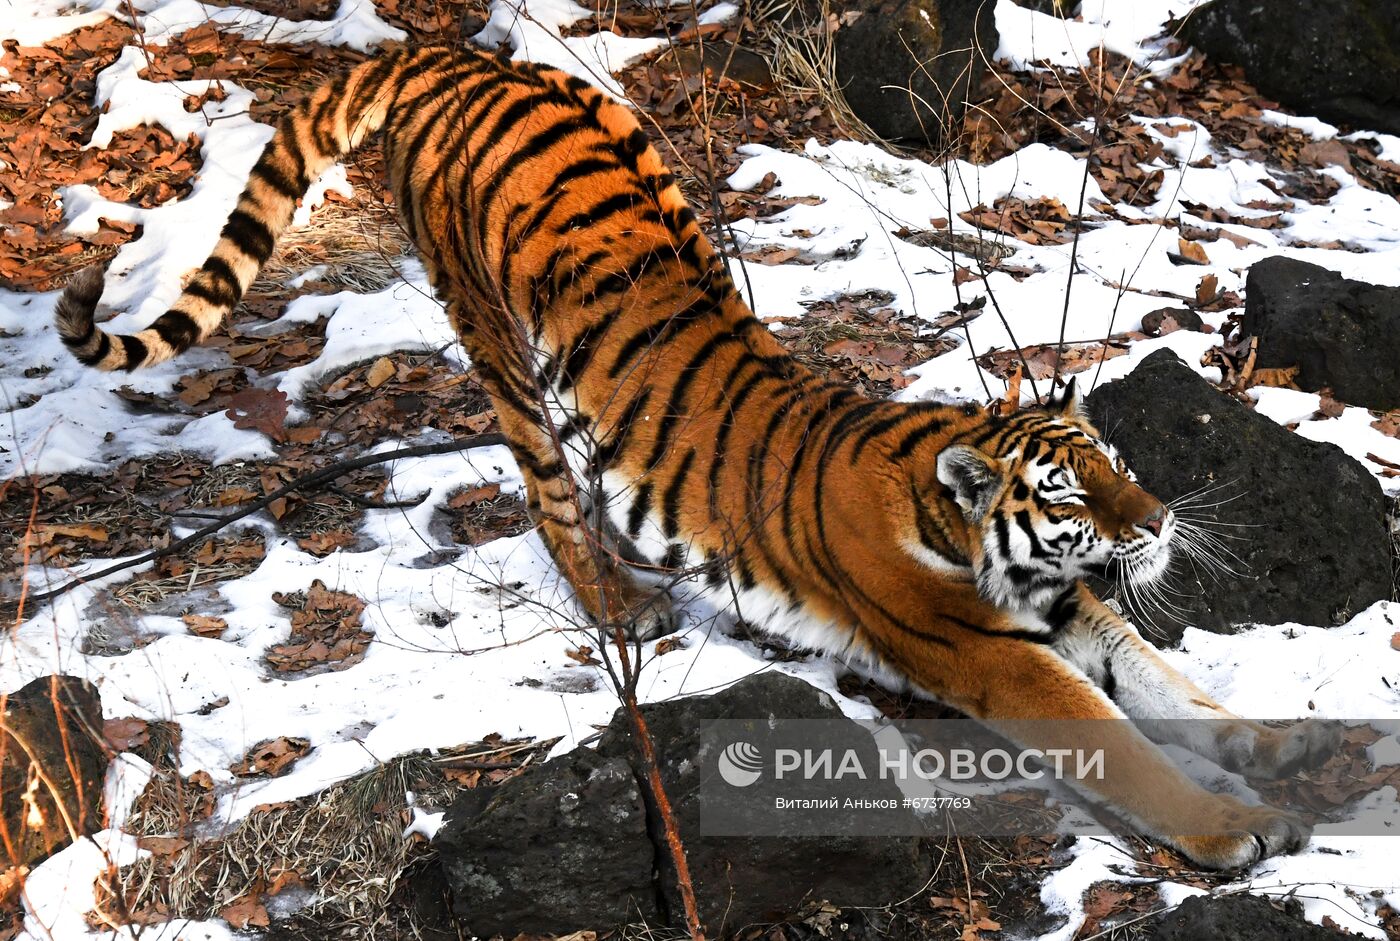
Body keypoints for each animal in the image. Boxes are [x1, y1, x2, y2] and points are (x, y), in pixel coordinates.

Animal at [54, 42, 1338, 868]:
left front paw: (1280, 742)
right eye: (1072, 486)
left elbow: (1171, 685)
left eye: (1112, 456)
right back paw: (619, 603)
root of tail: (458, 60)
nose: (1158, 520)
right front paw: (1232, 826)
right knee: (548, 492)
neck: (982, 536)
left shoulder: (1070, 609)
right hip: (495, 339)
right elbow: (1124, 746)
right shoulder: (990, 653)